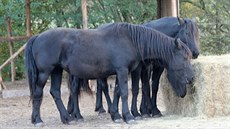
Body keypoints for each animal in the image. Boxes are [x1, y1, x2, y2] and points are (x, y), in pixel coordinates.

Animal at [24, 22, 194, 126]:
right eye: (185, 58)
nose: (192, 78)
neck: (130, 40)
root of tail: (37, 37)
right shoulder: (122, 70)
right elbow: (125, 93)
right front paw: (129, 116)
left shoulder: (121, 72)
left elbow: (118, 92)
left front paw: (117, 115)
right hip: (45, 72)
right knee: (39, 93)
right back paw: (38, 120)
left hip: (57, 71)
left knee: (55, 92)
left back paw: (67, 118)